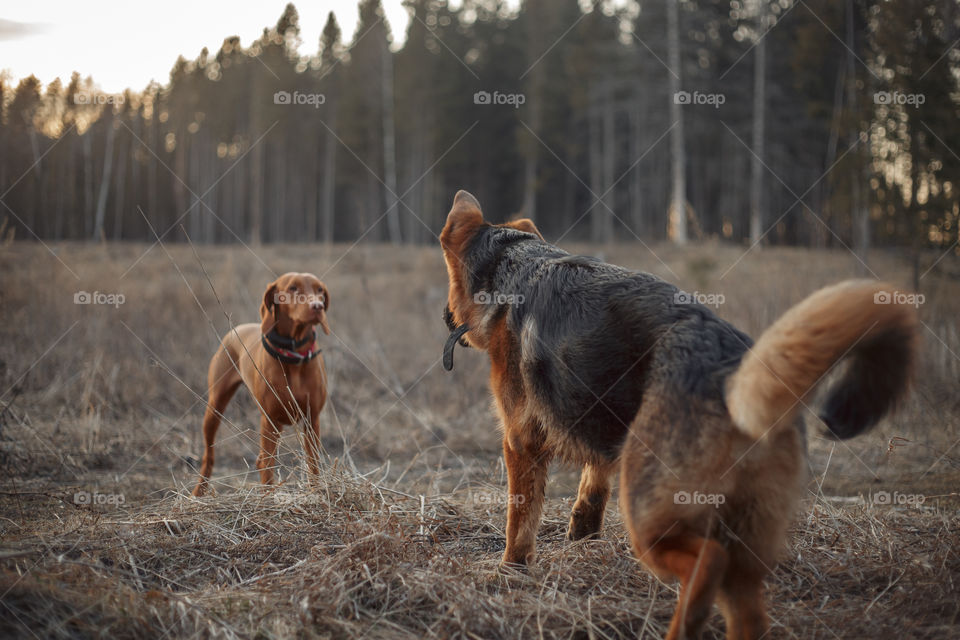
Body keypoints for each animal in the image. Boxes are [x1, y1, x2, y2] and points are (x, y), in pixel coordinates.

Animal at [193, 272, 332, 498]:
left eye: (320, 289)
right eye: (292, 288)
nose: (317, 306)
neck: (292, 353)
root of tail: (238, 328)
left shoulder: (312, 420)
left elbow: (313, 465)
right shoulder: (270, 420)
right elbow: (268, 467)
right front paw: (268, 499)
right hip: (215, 407)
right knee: (209, 456)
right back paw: (198, 492)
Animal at [438, 191, 920, 640]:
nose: (446, 315)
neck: (515, 262)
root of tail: (732, 372)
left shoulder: (521, 441)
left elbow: (520, 521)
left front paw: (510, 570)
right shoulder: (601, 418)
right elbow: (594, 480)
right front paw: (583, 533)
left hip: (651, 512)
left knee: (707, 561)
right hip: (741, 536)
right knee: (745, 609)